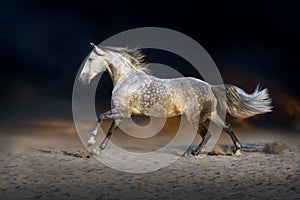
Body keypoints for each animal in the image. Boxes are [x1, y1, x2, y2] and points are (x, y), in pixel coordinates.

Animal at [79, 43, 272, 156]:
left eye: (91, 59)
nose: (82, 80)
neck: (127, 79)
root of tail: (210, 87)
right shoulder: (122, 113)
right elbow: (110, 130)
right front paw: (97, 150)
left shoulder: (122, 111)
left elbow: (100, 117)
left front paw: (90, 142)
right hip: (210, 115)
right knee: (227, 127)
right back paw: (236, 150)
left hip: (194, 118)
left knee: (207, 134)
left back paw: (193, 153)